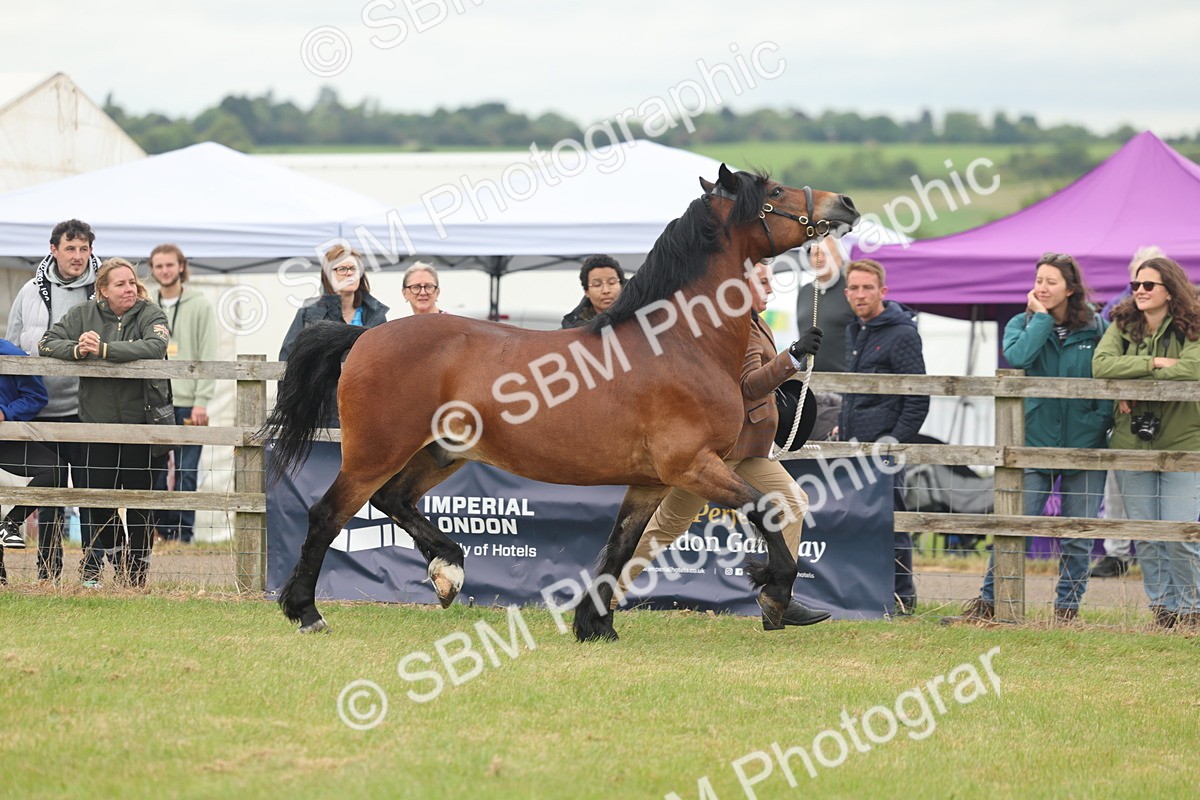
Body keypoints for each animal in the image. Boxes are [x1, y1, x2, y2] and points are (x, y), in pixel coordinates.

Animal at [263, 164, 858, 641]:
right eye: (775, 190)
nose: (846, 205)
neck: (679, 343)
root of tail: (363, 337)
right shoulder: (694, 466)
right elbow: (766, 509)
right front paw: (774, 593)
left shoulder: (652, 482)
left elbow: (619, 549)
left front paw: (595, 626)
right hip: (375, 452)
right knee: (327, 515)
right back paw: (308, 612)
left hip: (440, 453)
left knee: (394, 499)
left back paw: (448, 571)